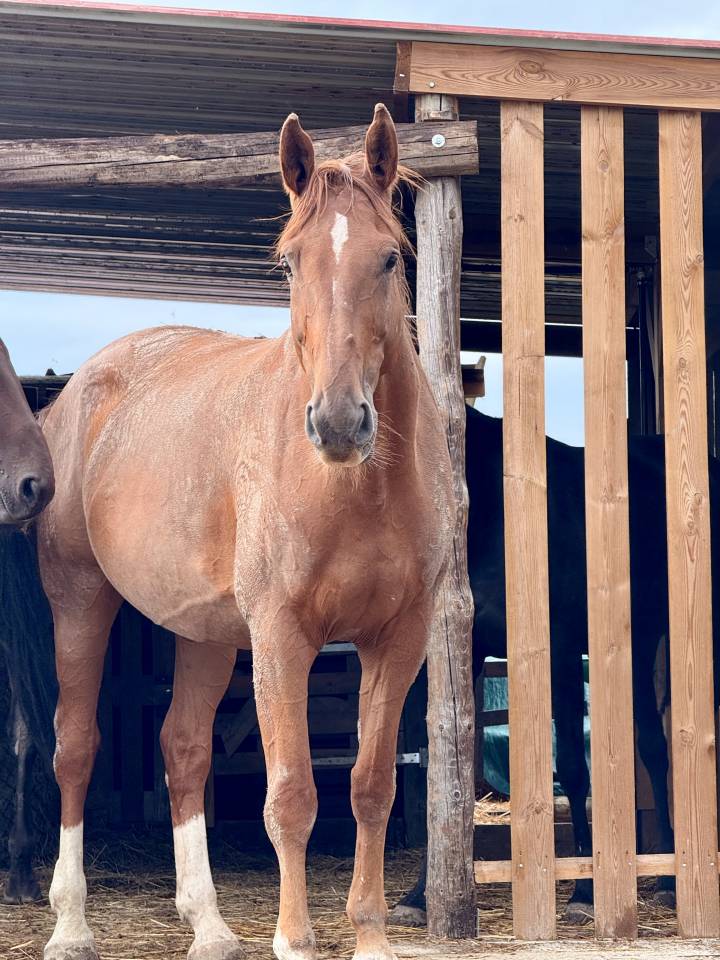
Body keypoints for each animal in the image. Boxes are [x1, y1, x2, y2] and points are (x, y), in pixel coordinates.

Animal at [36, 104, 454, 960]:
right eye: (290, 264)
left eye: (390, 259)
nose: (338, 422)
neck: (353, 489)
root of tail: (83, 388)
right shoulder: (282, 636)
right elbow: (291, 793)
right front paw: (294, 939)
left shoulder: (398, 638)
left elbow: (371, 786)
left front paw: (368, 935)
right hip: (81, 601)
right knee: (76, 745)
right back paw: (71, 924)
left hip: (202, 633)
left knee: (184, 749)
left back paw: (209, 924)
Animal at [390, 404, 715, 926]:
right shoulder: (461, 650)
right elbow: (444, 773)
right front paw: (419, 896)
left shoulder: (560, 649)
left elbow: (575, 770)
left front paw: (584, 892)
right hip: (642, 638)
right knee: (653, 745)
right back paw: (667, 881)